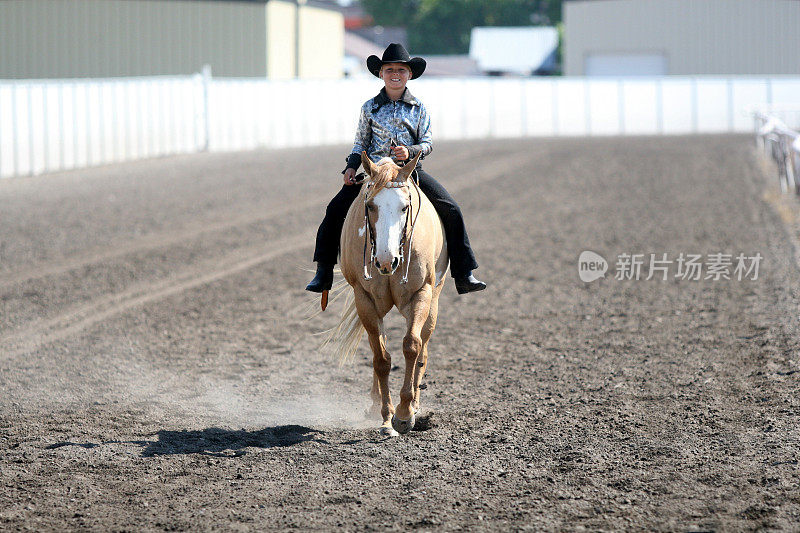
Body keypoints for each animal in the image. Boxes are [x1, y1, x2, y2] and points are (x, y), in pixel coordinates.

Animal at [326, 151, 450, 436]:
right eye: (371, 206)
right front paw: (386, 417)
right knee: (377, 346)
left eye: (405, 207)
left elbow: (412, 346)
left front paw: (404, 414)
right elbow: (381, 358)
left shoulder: (421, 293)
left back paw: (415, 403)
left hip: (434, 301)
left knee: (423, 348)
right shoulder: (365, 299)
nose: (386, 261)